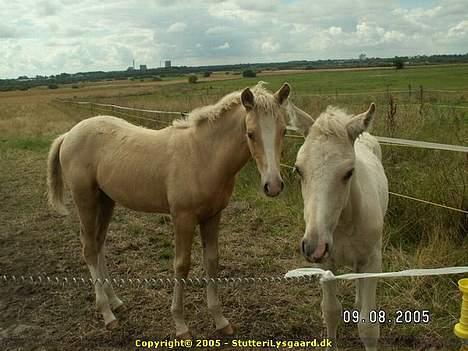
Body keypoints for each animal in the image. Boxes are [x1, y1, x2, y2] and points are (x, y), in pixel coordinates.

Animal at [46, 83, 288, 338]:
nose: (273, 185)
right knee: (89, 248)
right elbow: (181, 265)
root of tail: (68, 135)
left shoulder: (213, 215)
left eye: (283, 131)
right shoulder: (183, 218)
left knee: (99, 242)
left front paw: (221, 321)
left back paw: (116, 302)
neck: (202, 155)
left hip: (106, 200)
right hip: (86, 199)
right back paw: (107, 314)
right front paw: (181, 326)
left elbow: (212, 261)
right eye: (250, 133)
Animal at [292, 103, 388, 350]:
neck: (343, 224)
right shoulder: (326, 265)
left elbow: (368, 326)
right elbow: (331, 311)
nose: (313, 247)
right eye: (298, 170)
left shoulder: (373, 261)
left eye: (349, 172)